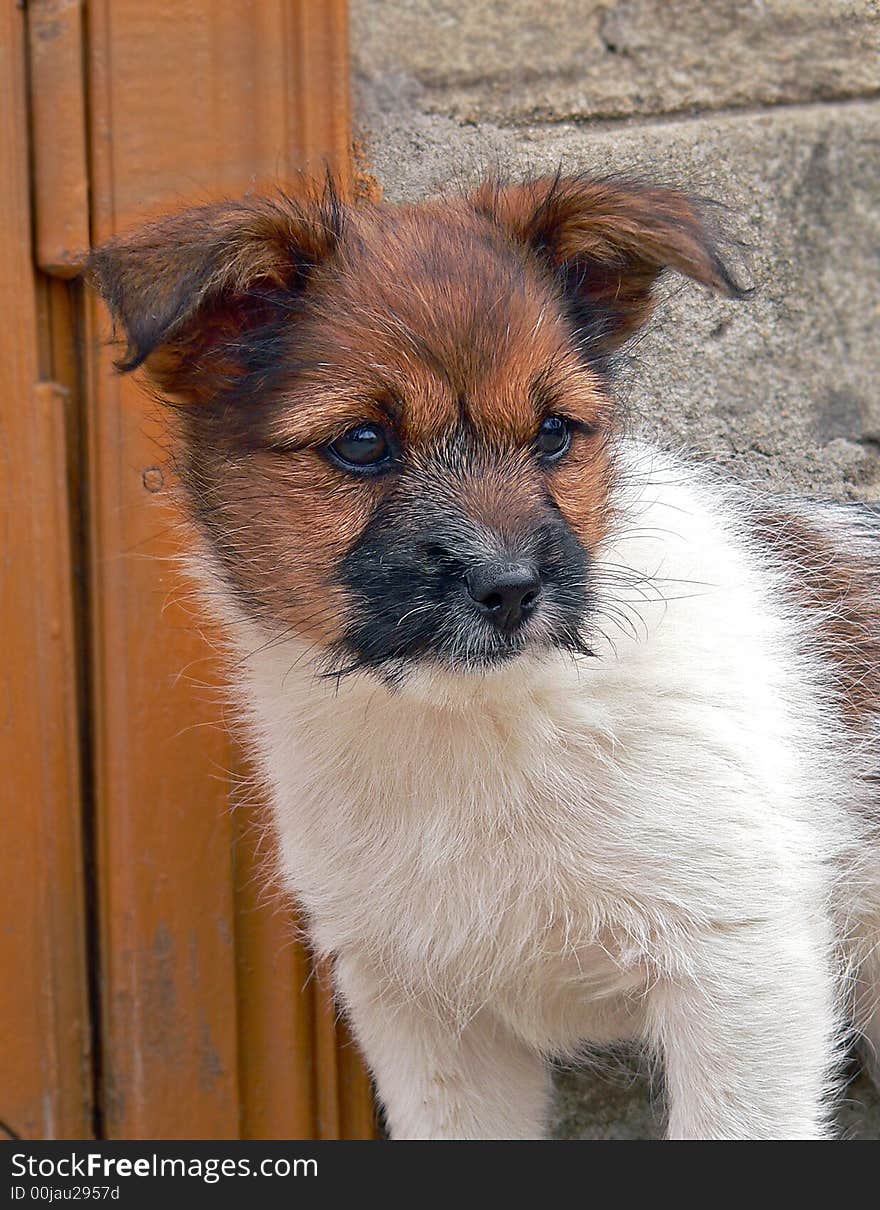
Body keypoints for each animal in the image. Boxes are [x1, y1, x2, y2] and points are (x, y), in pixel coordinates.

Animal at [89, 175, 880, 1137]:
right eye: (363, 444)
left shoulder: (742, 972)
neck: (478, 718)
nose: (510, 590)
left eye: (554, 434)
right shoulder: (426, 1021)